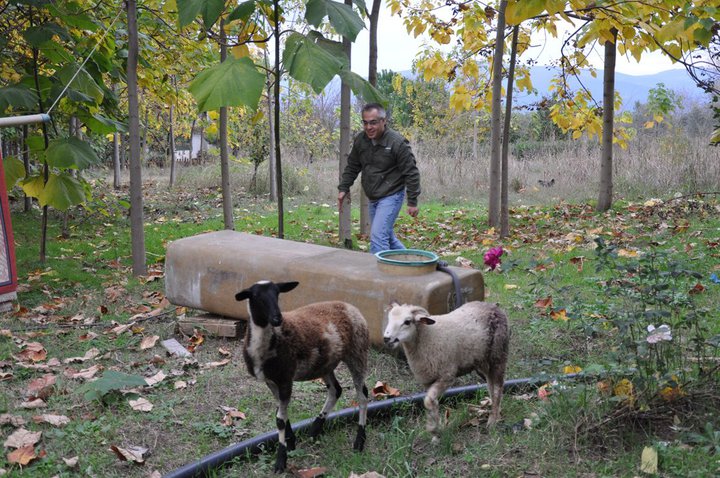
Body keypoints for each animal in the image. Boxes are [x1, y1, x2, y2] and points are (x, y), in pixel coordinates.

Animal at [235, 282, 372, 472]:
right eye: (255, 296)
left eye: (277, 293)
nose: (277, 319)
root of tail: (349, 306)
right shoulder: (272, 381)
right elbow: (280, 414)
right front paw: (291, 442)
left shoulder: (285, 379)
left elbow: (279, 419)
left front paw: (281, 460)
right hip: (325, 363)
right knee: (336, 390)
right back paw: (315, 428)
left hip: (357, 352)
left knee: (362, 396)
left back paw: (359, 441)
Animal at [386, 304, 510, 436]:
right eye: (389, 319)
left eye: (407, 322)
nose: (386, 338)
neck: (427, 336)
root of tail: (494, 307)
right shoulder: (428, 381)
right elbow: (432, 403)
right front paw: (436, 428)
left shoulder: (447, 376)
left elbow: (428, 401)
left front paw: (433, 429)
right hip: (483, 362)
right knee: (491, 386)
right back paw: (496, 413)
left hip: (498, 356)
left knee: (497, 387)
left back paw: (492, 421)